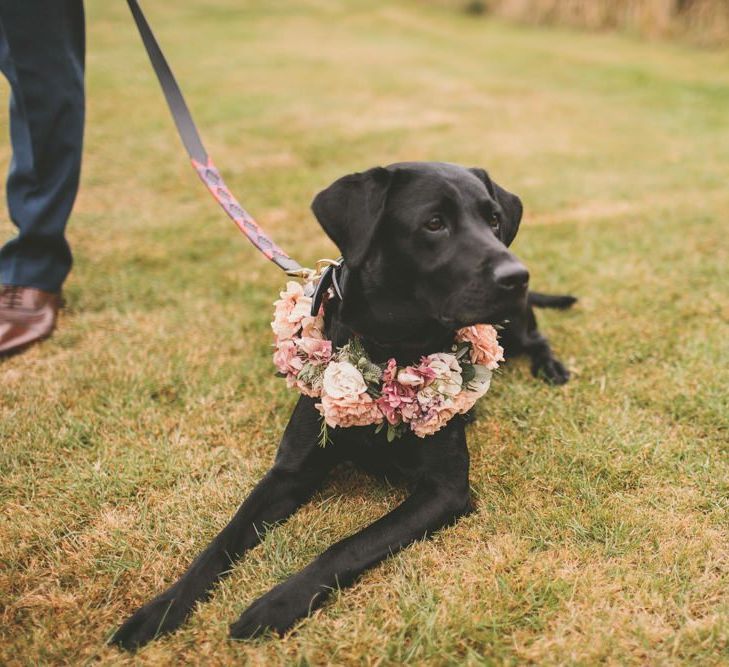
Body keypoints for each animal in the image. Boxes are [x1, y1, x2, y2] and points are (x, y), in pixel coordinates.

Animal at [111, 163, 576, 652]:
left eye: (493, 220)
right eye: (434, 223)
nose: (517, 275)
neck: (387, 351)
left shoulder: (444, 490)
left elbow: (349, 545)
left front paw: (275, 605)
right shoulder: (289, 472)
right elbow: (223, 539)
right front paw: (161, 609)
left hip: (515, 321)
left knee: (538, 339)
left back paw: (552, 368)